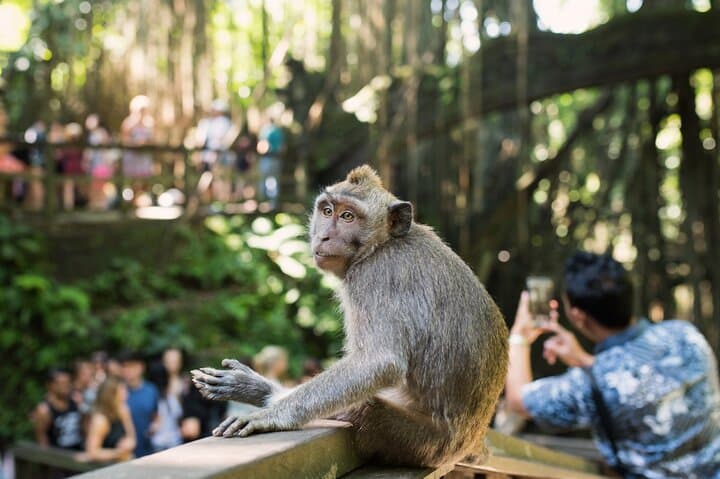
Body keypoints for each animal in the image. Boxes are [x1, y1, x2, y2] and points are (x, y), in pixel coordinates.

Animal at [191, 165, 508, 467]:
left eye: (348, 217)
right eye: (327, 211)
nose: (324, 236)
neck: (382, 244)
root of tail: (470, 439)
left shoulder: (375, 277)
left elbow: (379, 361)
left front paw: (272, 415)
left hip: (422, 442)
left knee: (366, 410)